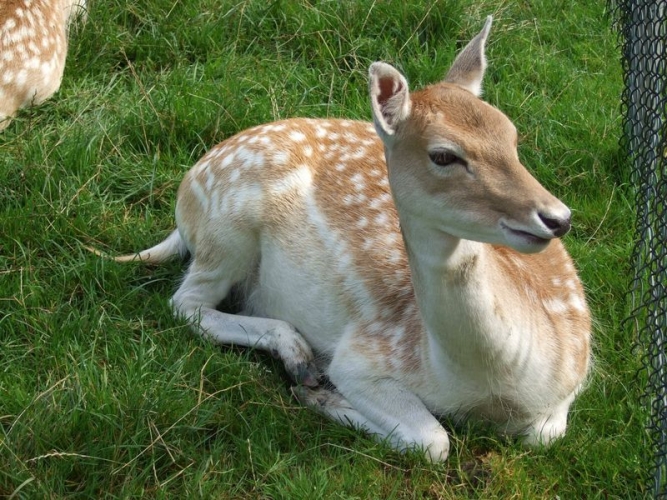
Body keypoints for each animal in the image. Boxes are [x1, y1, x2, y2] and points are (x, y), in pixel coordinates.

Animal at [107, 17, 591, 462]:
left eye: (512, 135)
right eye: (443, 155)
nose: (557, 218)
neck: (495, 389)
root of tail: (188, 187)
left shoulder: (572, 381)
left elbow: (544, 435)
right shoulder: (362, 357)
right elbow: (432, 441)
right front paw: (320, 393)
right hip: (225, 232)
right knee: (186, 303)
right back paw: (298, 356)